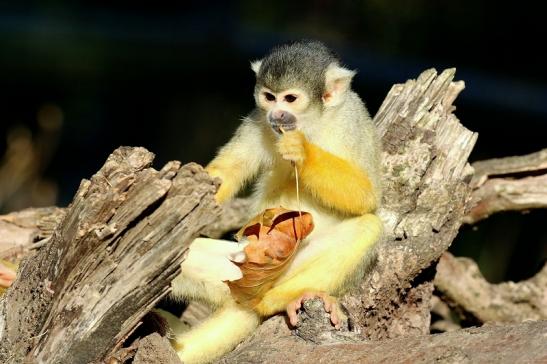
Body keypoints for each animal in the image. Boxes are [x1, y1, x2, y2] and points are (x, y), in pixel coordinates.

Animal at [171, 40, 382, 364]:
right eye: (270, 97)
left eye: (290, 99)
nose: (277, 115)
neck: (311, 125)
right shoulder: (257, 120)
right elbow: (227, 173)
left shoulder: (353, 119)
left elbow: (368, 196)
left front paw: (302, 151)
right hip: (238, 266)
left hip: (287, 270)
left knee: (369, 226)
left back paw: (280, 301)